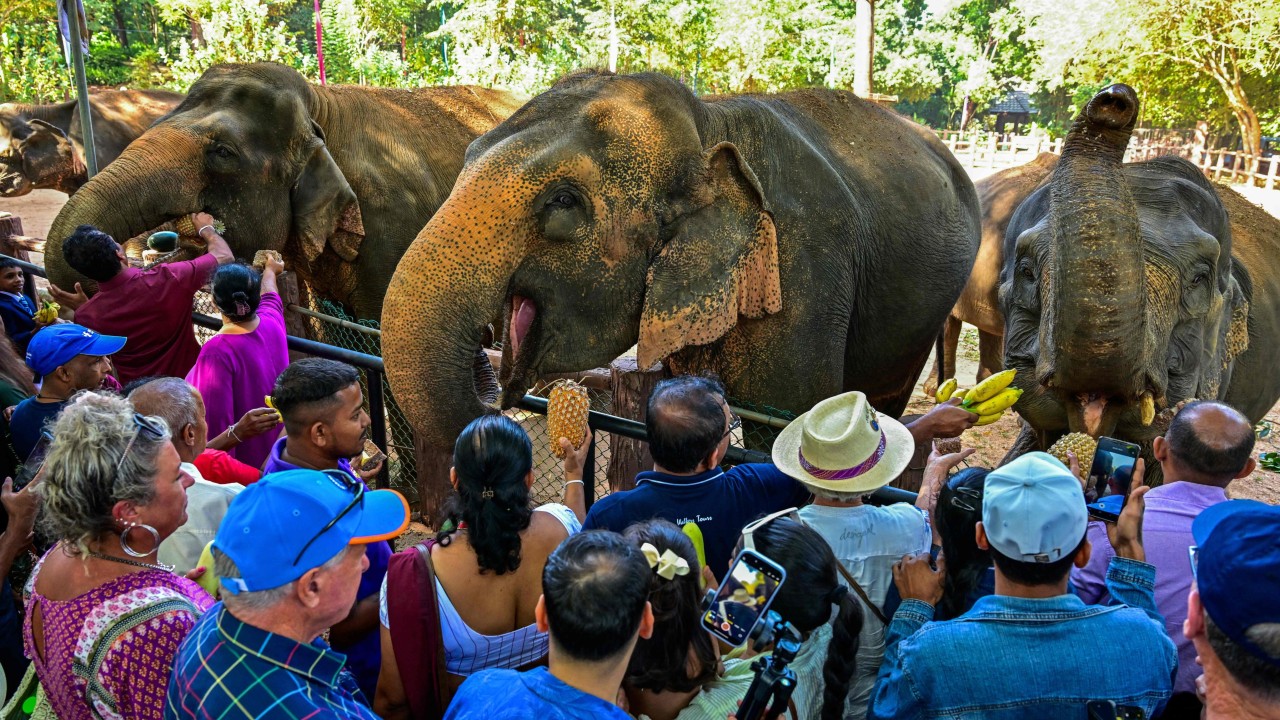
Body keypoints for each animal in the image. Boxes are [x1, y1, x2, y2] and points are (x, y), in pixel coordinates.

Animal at [382, 70, 982, 449]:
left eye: (563, 202)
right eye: (466, 157)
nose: (487, 357)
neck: (711, 125)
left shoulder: (805, 271)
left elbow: (785, 427)